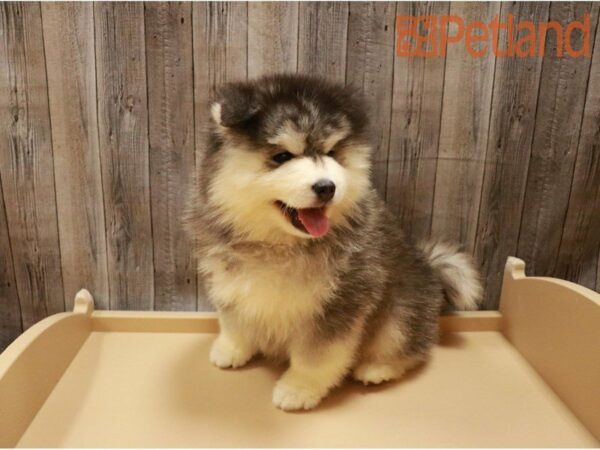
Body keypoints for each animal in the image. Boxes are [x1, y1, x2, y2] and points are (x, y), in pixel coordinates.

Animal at [183, 74, 482, 412]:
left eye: (333, 153)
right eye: (282, 157)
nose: (327, 187)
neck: (280, 244)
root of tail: (429, 268)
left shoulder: (340, 302)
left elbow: (316, 356)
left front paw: (299, 389)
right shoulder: (231, 282)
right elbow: (234, 321)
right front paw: (232, 348)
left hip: (401, 312)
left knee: (410, 347)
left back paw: (377, 368)